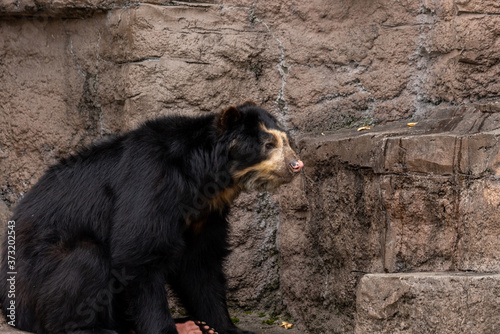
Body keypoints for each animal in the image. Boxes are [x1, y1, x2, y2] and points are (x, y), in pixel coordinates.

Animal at [0, 102, 304, 334]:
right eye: (268, 144)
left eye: (288, 142)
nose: (297, 164)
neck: (203, 182)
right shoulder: (151, 182)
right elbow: (139, 254)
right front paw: (166, 329)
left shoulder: (206, 214)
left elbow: (200, 263)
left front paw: (224, 327)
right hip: (37, 280)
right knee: (85, 261)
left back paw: (190, 326)